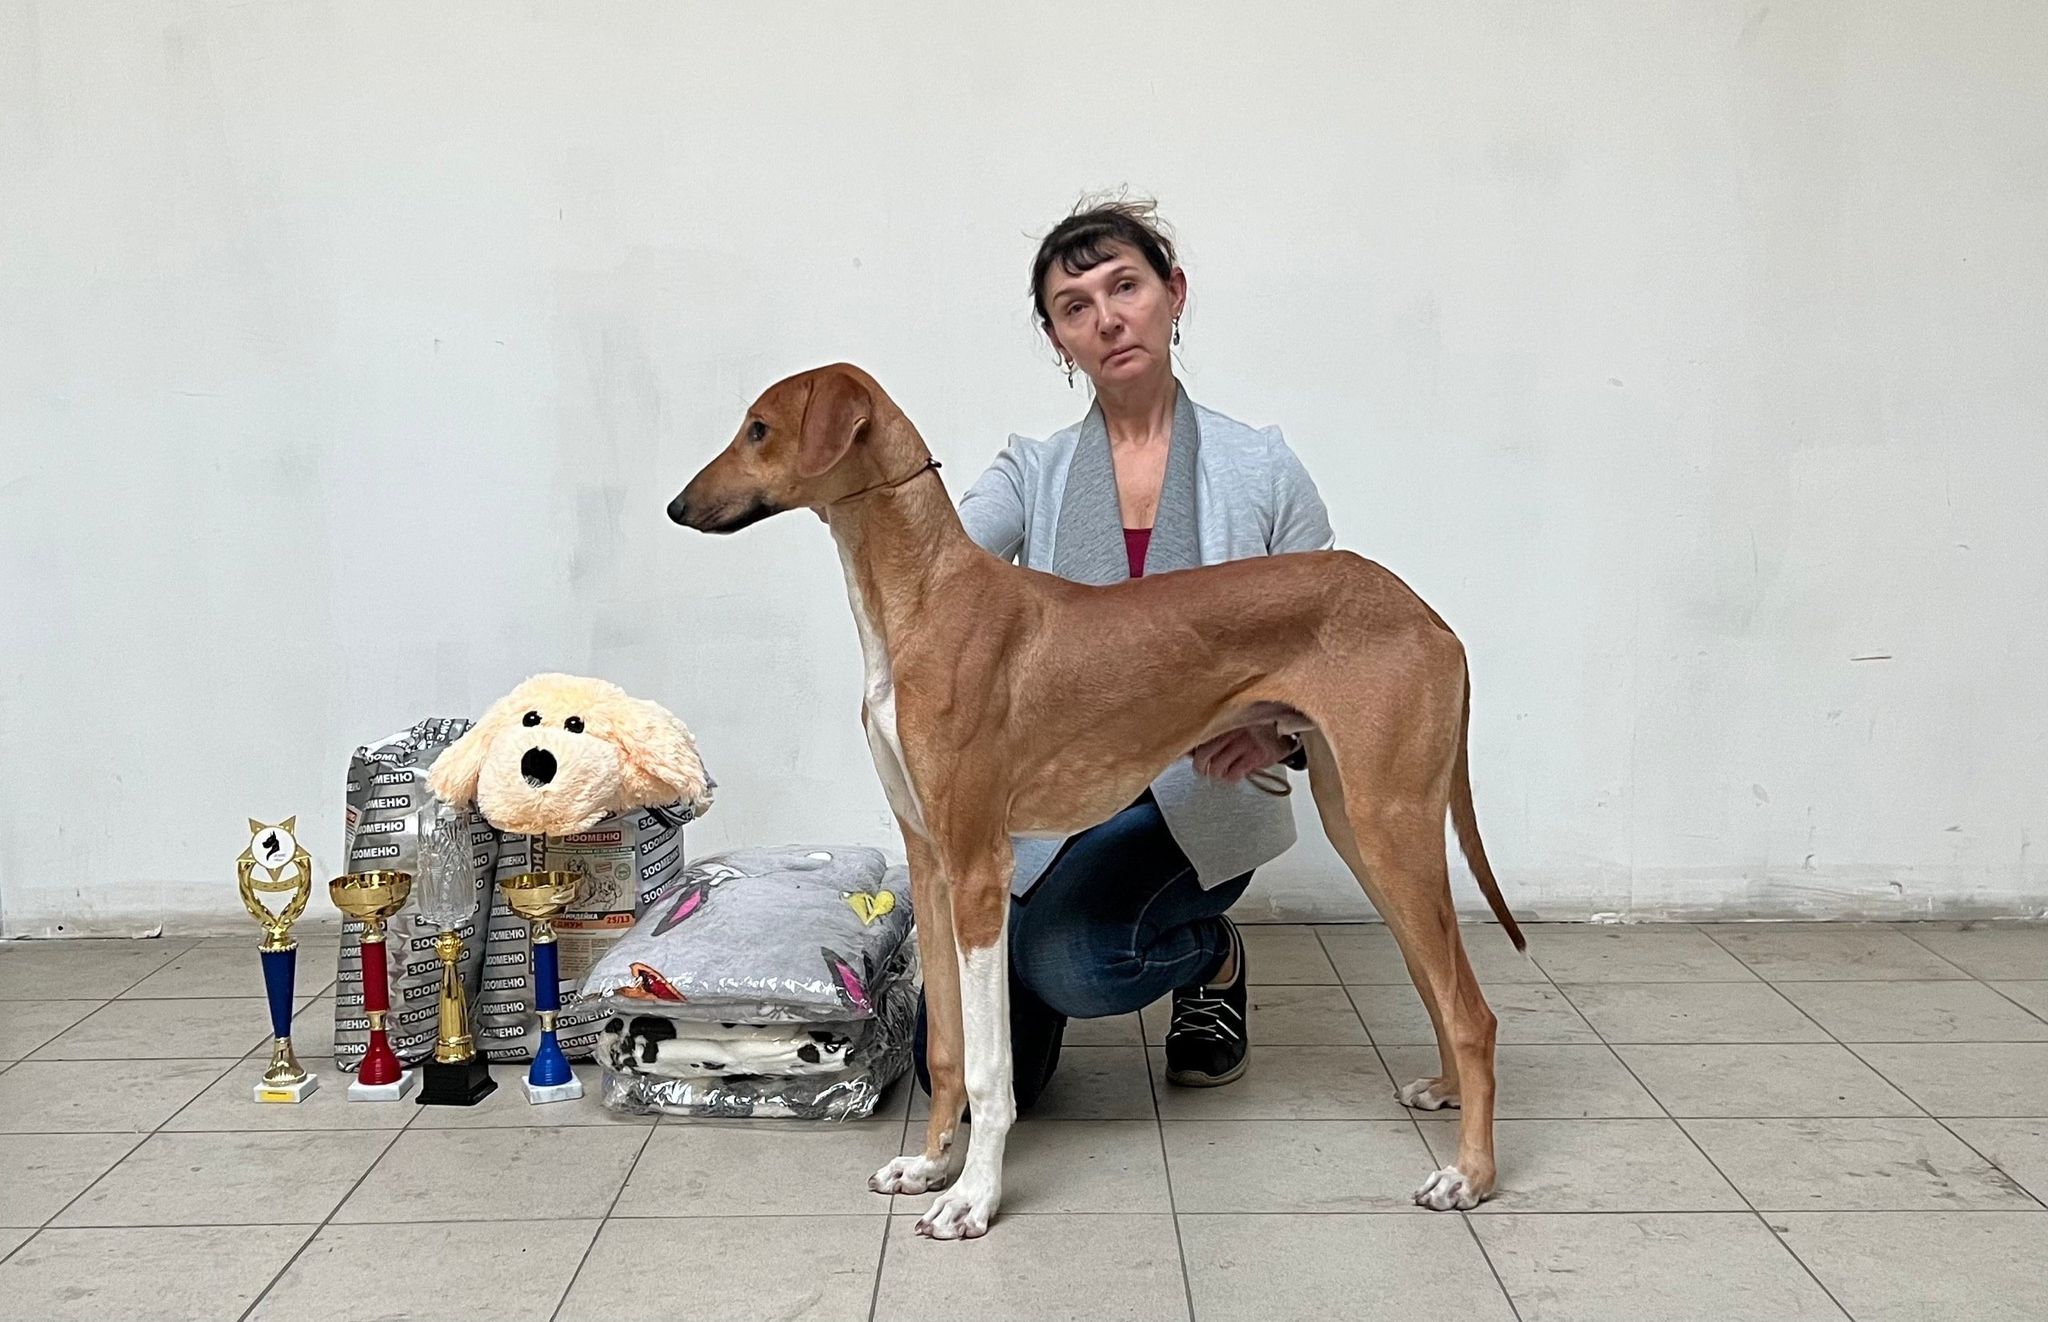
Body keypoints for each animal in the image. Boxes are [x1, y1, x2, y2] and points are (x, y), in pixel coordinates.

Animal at [669, 363, 1523, 1239]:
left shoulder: (977, 868)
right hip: (1359, 823)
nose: (676, 506)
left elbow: (989, 1065)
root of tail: (1430, 616)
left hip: (1391, 823)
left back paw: (1470, 1174)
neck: (922, 600)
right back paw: (1445, 1092)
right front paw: (931, 1165)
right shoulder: (929, 860)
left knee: (1473, 1012)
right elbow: (946, 1047)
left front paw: (973, 1196)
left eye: (759, 430)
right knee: (1440, 983)